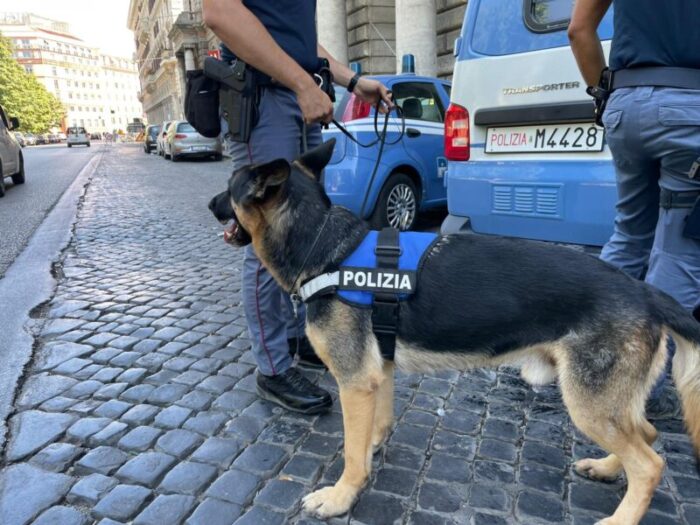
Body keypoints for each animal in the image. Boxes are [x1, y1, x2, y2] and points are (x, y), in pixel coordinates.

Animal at [211, 140, 700, 524]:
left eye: (230, 187)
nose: (211, 204)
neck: (324, 246)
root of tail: (643, 290)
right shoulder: (376, 375)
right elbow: (373, 429)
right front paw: (371, 451)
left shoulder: (354, 382)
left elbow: (350, 451)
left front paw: (341, 497)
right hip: (608, 404)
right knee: (647, 436)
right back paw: (608, 467)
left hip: (588, 404)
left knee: (651, 464)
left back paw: (620, 515)